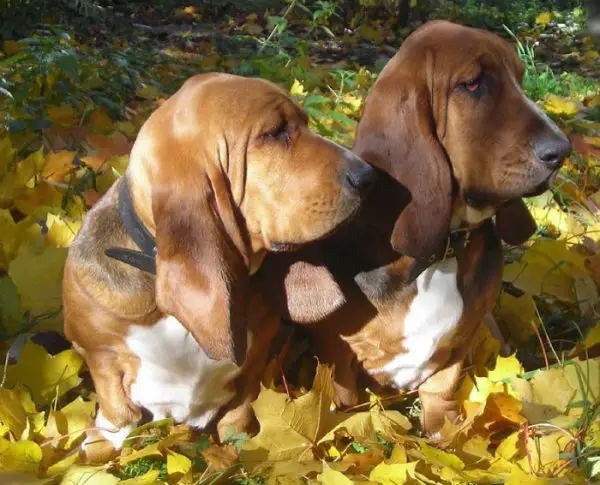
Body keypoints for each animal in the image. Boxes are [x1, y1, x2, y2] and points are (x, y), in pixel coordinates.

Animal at [65, 73, 376, 448]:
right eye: (274, 132)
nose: (368, 175)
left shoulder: (254, 365)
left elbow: (238, 415)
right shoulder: (99, 355)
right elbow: (115, 413)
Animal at [260, 20, 568, 432]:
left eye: (519, 77)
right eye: (473, 83)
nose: (562, 151)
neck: (445, 248)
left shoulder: (459, 342)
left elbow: (441, 393)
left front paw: (446, 434)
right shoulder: (338, 352)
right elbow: (348, 400)